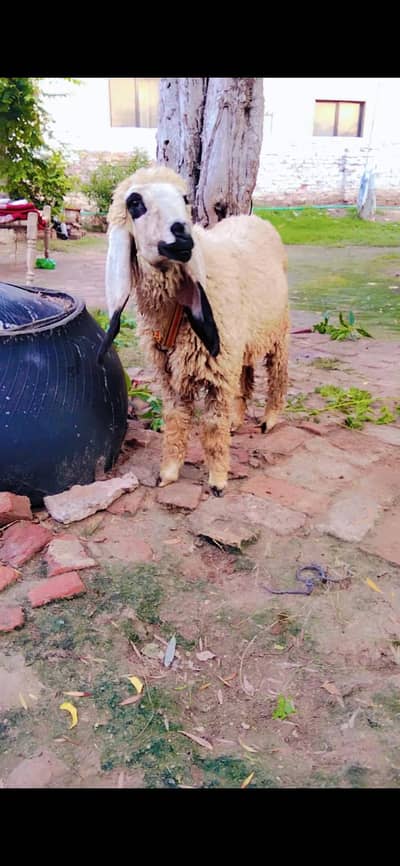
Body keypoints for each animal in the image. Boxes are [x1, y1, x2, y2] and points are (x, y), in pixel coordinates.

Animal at [99, 165, 289, 496]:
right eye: (135, 203)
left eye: (185, 198)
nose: (182, 232)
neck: (173, 314)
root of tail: (254, 218)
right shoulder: (171, 375)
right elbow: (175, 420)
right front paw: (168, 473)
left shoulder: (216, 372)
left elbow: (212, 427)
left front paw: (218, 480)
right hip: (242, 342)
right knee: (246, 375)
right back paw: (237, 419)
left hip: (278, 333)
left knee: (277, 375)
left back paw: (269, 419)